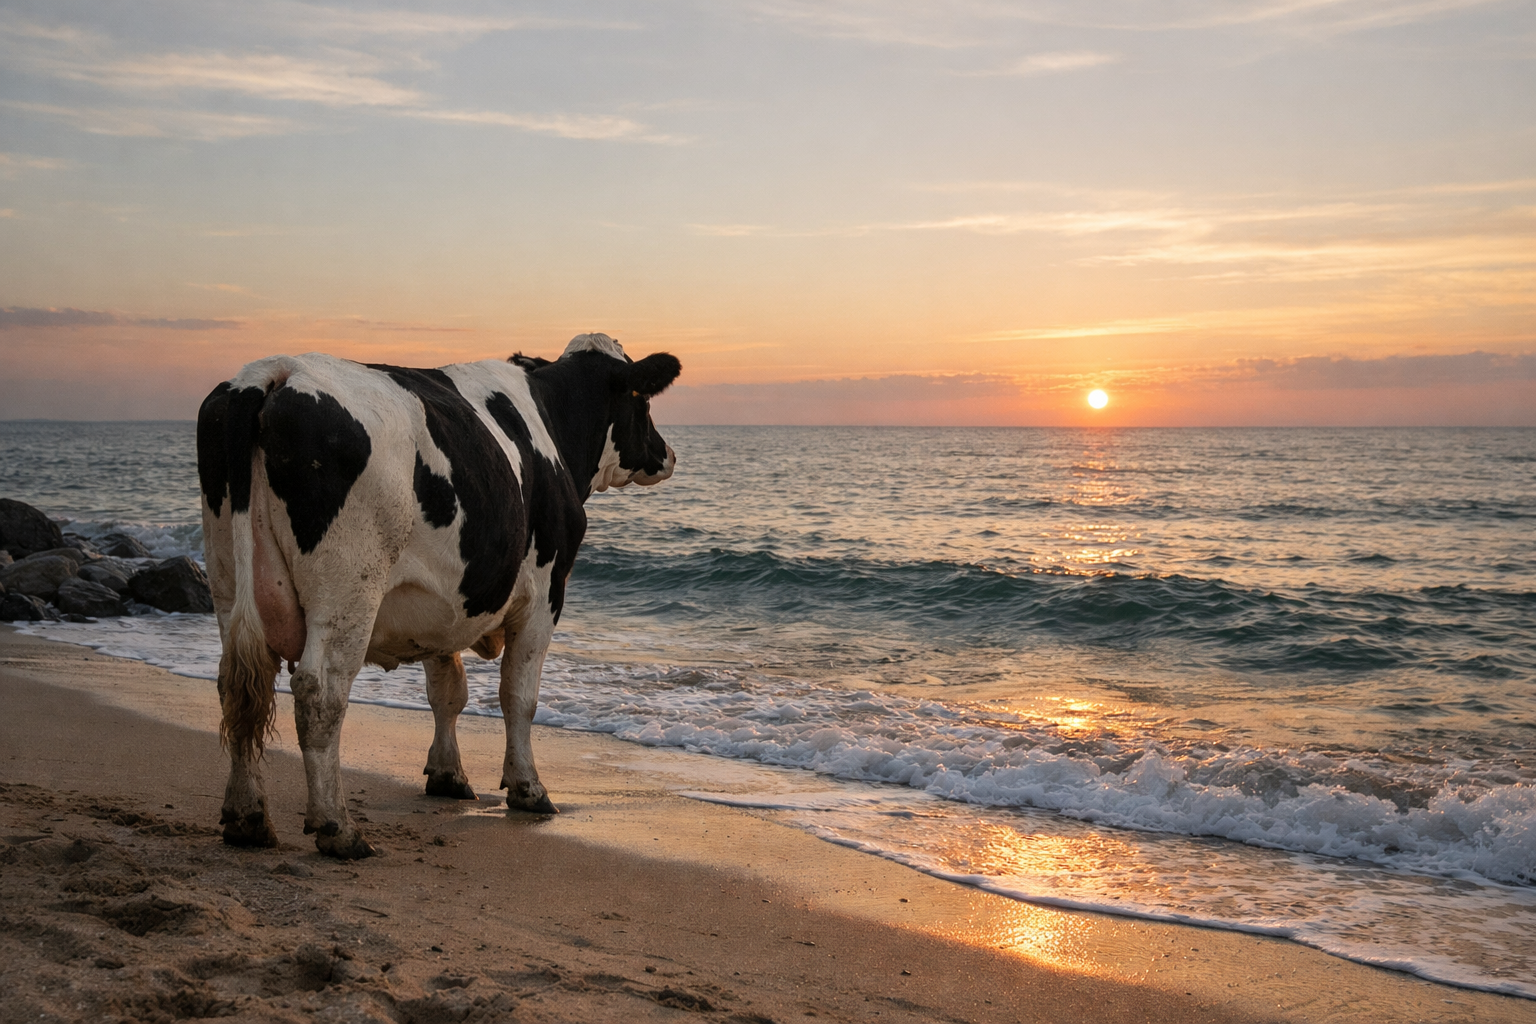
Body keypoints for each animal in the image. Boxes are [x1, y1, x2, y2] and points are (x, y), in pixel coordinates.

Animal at [195, 333, 680, 859]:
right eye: (642, 400)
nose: (667, 454)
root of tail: (274, 372)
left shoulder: (440, 604)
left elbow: (447, 691)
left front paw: (448, 776)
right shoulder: (546, 593)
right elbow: (519, 696)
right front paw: (529, 789)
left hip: (226, 576)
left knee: (238, 684)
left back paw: (246, 818)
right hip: (348, 587)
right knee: (319, 692)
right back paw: (338, 828)